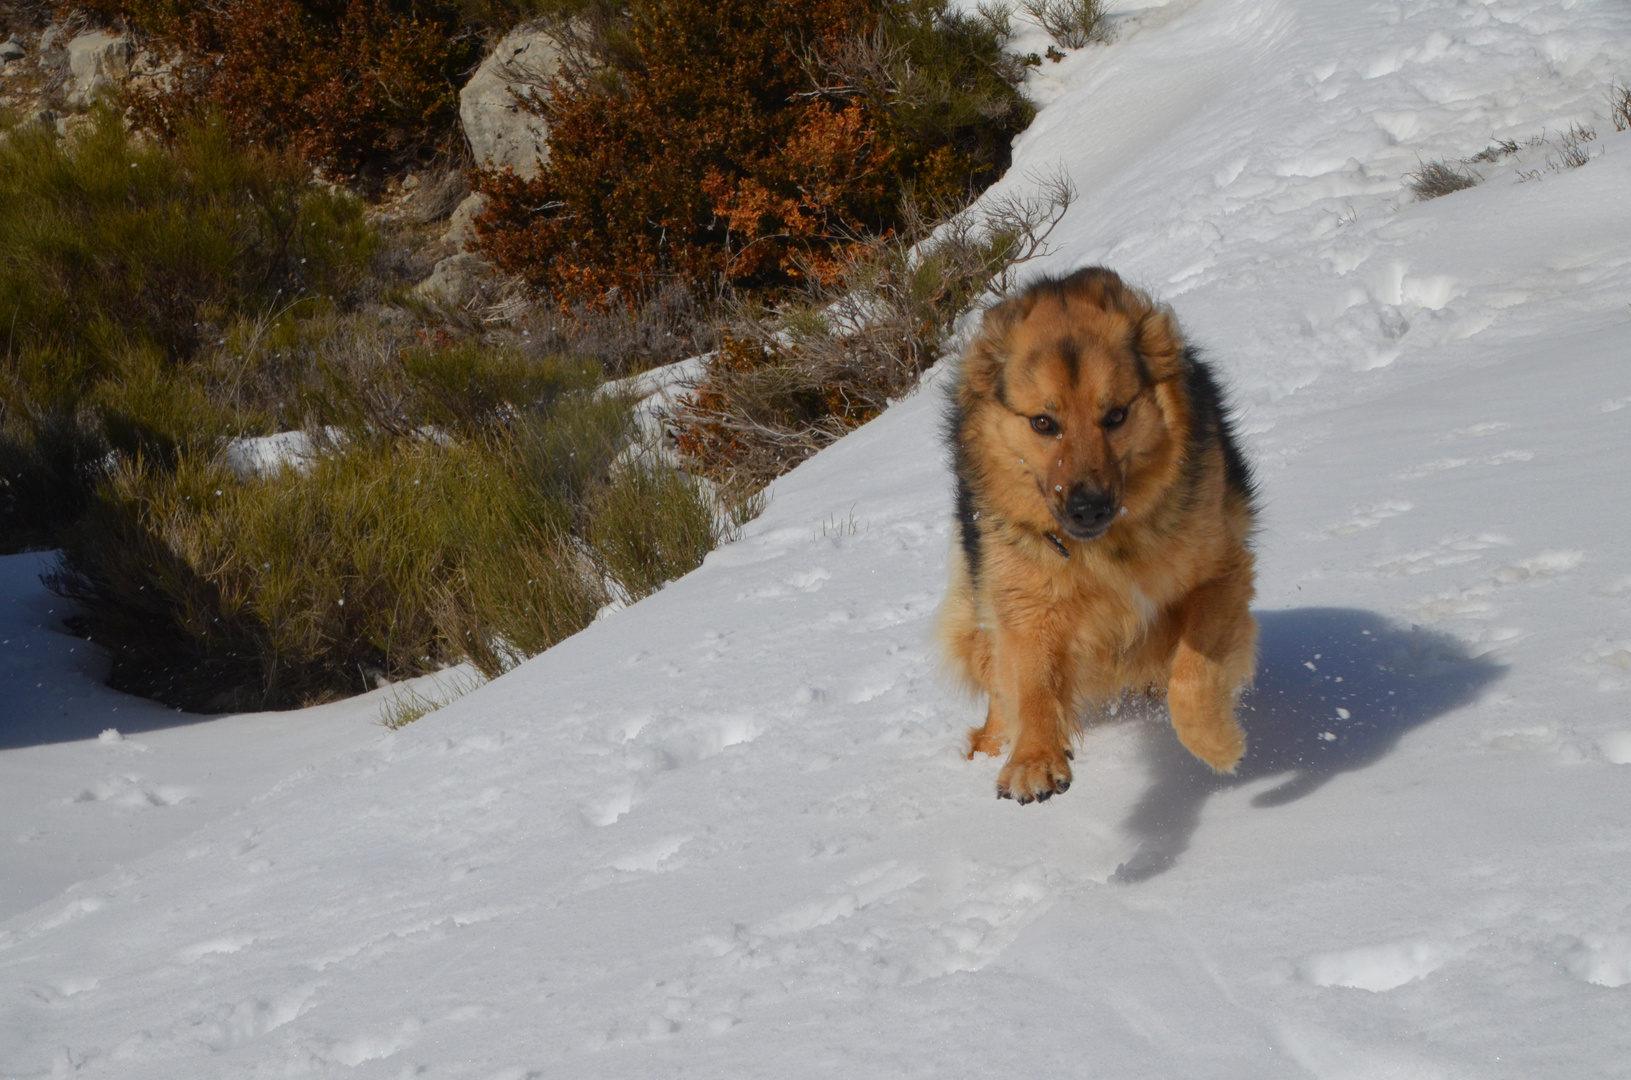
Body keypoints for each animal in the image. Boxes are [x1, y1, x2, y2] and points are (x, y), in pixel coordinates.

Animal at [932, 265, 1259, 799]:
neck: (1104, 550)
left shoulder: (1221, 573)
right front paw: (1034, 757)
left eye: (1116, 416)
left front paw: (1217, 744)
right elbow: (1033, 686)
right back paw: (989, 747)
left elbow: (1191, 675)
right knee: (999, 689)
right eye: (1044, 423)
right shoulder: (1027, 609)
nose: (1088, 508)